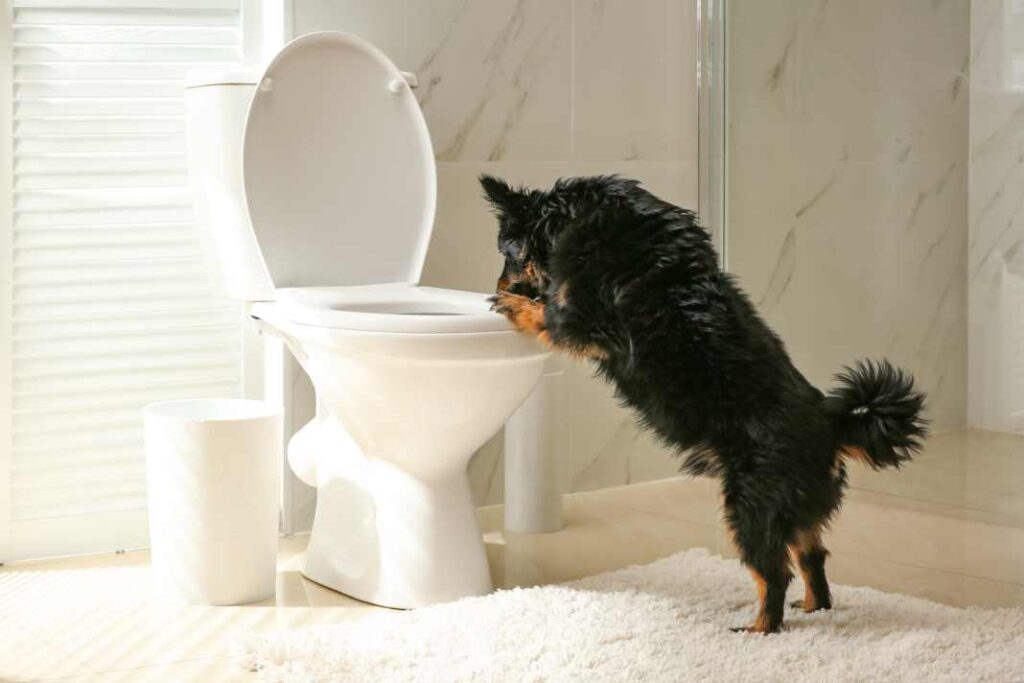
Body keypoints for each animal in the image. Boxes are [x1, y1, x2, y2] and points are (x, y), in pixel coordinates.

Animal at [479, 175, 929, 634]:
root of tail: (832, 425)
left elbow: (541, 310)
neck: (587, 214)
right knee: (812, 557)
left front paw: (510, 303)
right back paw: (812, 608)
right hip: (794, 507)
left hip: (749, 508)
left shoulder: (579, 321)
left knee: (774, 574)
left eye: (505, 252)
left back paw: (758, 630)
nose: (497, 286)